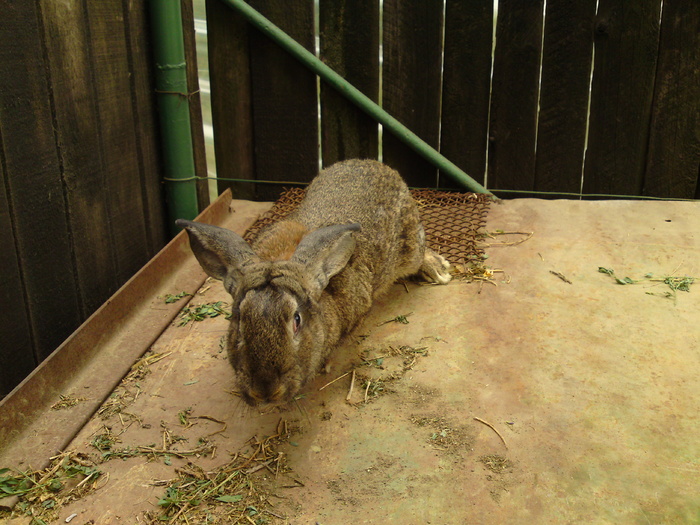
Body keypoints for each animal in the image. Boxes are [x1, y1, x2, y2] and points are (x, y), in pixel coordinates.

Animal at [178, 159, 452, 406]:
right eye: (238, 319)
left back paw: (438, 269)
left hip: (410, 247)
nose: (265, 391)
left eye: (297, 320)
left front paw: (325, 364)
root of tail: (376, 164)